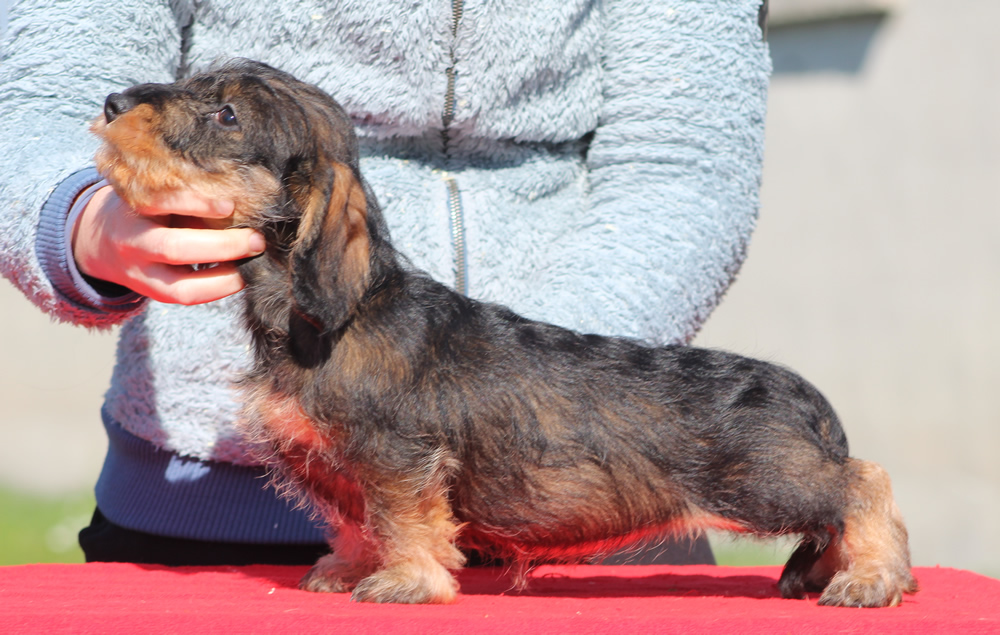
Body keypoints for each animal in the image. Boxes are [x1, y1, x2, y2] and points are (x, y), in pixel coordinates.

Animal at [92, 59, 916, 608]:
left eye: (227, 114)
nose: (110, 100)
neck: (319, 316)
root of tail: (801, 396)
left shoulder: (399, 456)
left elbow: (404, 519)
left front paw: (406, 581)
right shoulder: (350, 463)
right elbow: (360, 519)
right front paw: (350, 568)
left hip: (765, 480)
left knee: (865, 482)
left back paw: (871, 576)